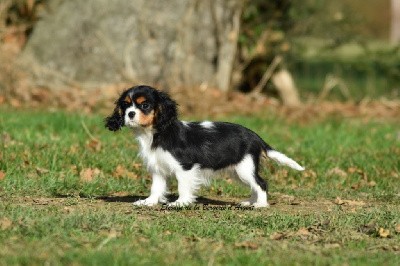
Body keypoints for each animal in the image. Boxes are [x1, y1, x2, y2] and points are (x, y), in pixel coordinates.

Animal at [104, 85, 304, 208]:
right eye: (125, 105)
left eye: (145, 105)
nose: (130, 114)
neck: (155, 133)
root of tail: (255, 136)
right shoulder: (158, 169)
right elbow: (156, 188)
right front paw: (149, 202)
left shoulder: (184, 167)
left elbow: (183, 187)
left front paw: (180, 203)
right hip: (238, 171)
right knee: (255, 185)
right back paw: (249, 202)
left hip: (244, 168)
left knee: (261, 183)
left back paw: (260, 205)